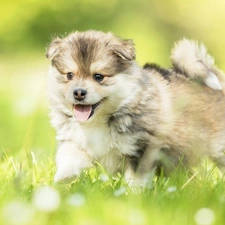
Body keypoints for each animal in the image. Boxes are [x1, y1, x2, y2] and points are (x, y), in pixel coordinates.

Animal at [45, 30, 225, 187]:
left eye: (98, 76)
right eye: (69, 75)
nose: (79, 93)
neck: (98, 121)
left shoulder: (142, 147)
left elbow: (136, 178)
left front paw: (133, 196)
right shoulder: (73, 138)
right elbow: (70, 155)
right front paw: (64, 176)